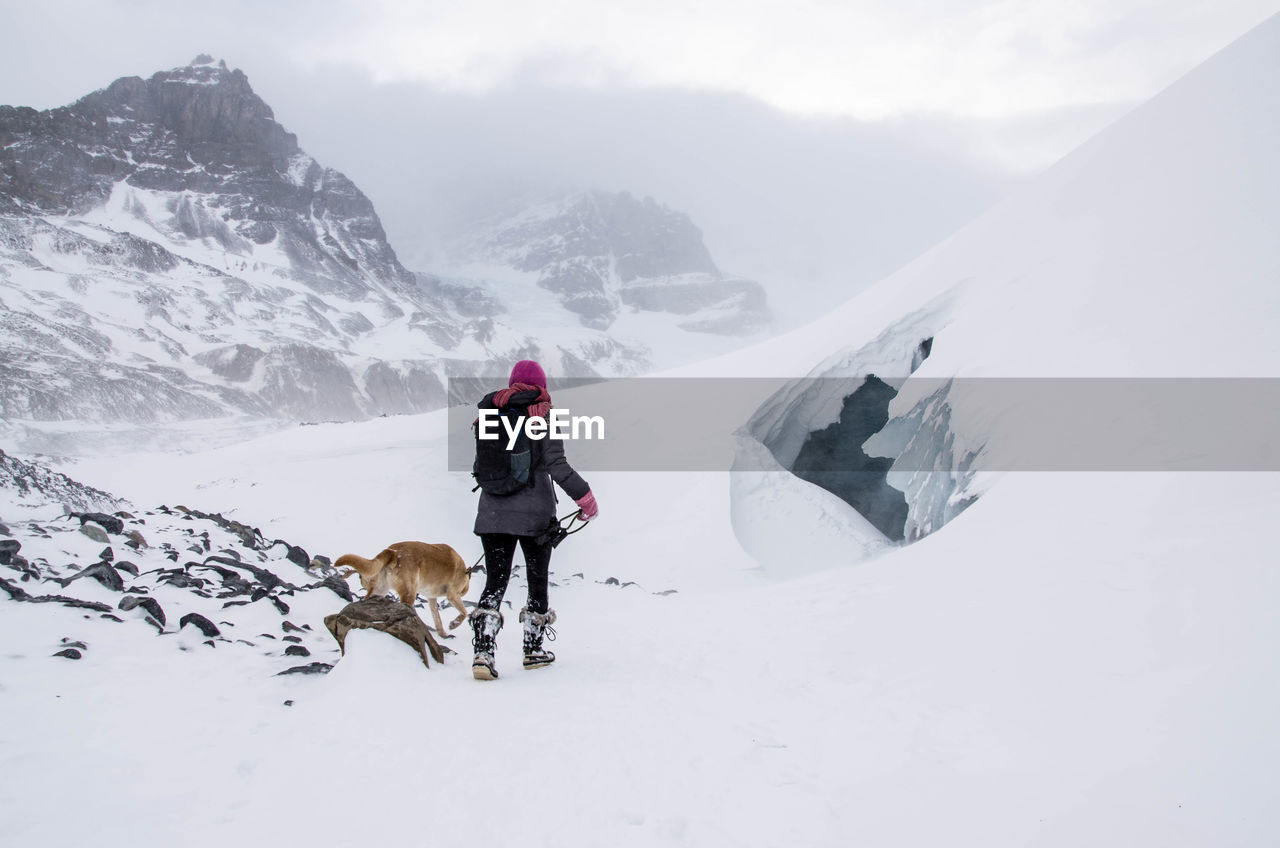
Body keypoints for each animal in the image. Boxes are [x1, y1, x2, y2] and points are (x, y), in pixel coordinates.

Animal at [335, 545, 471, 637]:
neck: (464, 571)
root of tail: (393, 552)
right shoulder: (452, 595)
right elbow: (464, 613)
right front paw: (454, 624)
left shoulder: (432, 599)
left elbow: (437, 619)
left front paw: (443, 634)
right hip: (409, 592)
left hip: (379, 590)